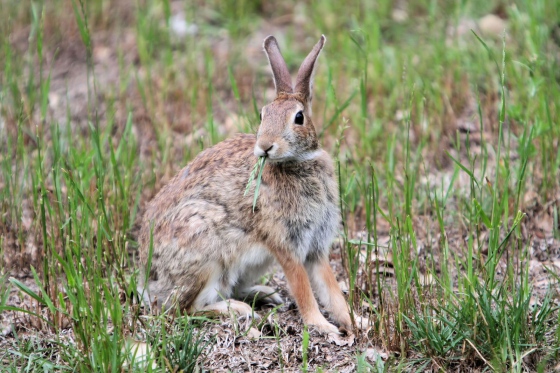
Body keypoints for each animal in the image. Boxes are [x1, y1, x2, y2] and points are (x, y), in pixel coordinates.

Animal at [140, 33, 358, 332]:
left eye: (299, 117)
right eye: (262, 115)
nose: (265, 146)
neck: (296, 162)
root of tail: (148, 280)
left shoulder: (316, 248)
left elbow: (332, 291)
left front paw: (355, 322)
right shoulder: (286, 245)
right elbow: (304, 291)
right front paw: (322, 326)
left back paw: (264, 294)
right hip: (205, 253)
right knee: (182, 310)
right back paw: (239, 310)